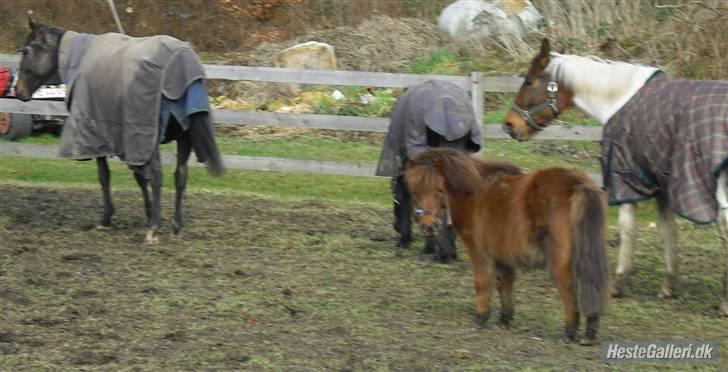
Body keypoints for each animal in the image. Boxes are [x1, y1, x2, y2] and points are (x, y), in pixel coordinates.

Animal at [14, 18, 225, 244]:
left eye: (26, 51)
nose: (18, 90)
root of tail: (181, 60)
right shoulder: (128, 144)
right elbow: (140, 178)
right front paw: (148, 212)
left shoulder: (102, 138)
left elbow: (105, 176)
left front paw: (107, 218)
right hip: (183, 137)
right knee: (180, 176)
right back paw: (175, 226)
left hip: (149, 137)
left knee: (157, 176)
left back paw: (153, 229)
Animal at [404, 148, 608, 346]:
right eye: (414, 190)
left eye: (439, 189)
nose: (428, 226)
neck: (475, 192)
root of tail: (577, 184)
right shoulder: (503, 255)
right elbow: (504, 284)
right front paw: (504, 319)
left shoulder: (478, 251)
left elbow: (483, 283)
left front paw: (482, 317)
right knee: (590, 285)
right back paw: (589, 333)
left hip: (560, 261)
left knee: (570, 289)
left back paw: (570, 332)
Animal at [504, 39, 728, 316]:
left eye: (529, 82)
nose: (509, 126)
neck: (619, 100)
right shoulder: (659, 178)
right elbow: (668, 229)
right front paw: (669, 286)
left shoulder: (625, 176)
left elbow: (627, 228)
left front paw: (618, 284)